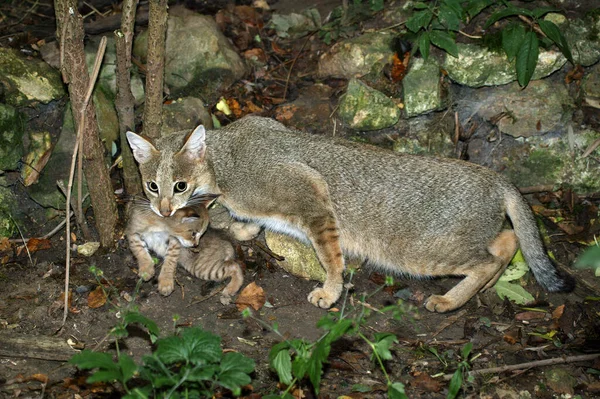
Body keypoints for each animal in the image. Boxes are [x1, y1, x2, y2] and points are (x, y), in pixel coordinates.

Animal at [124, 115, 568, 312]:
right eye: (152, 186)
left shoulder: (312, 199)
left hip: (425, 251)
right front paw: (242, 228)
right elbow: (247, 223)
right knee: (507, 241)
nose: (162, 208)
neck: (226, 157)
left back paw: (449, 300)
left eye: (179, 186)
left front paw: (331, 291)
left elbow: (330, 258)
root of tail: (496, 178)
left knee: (489, 257)